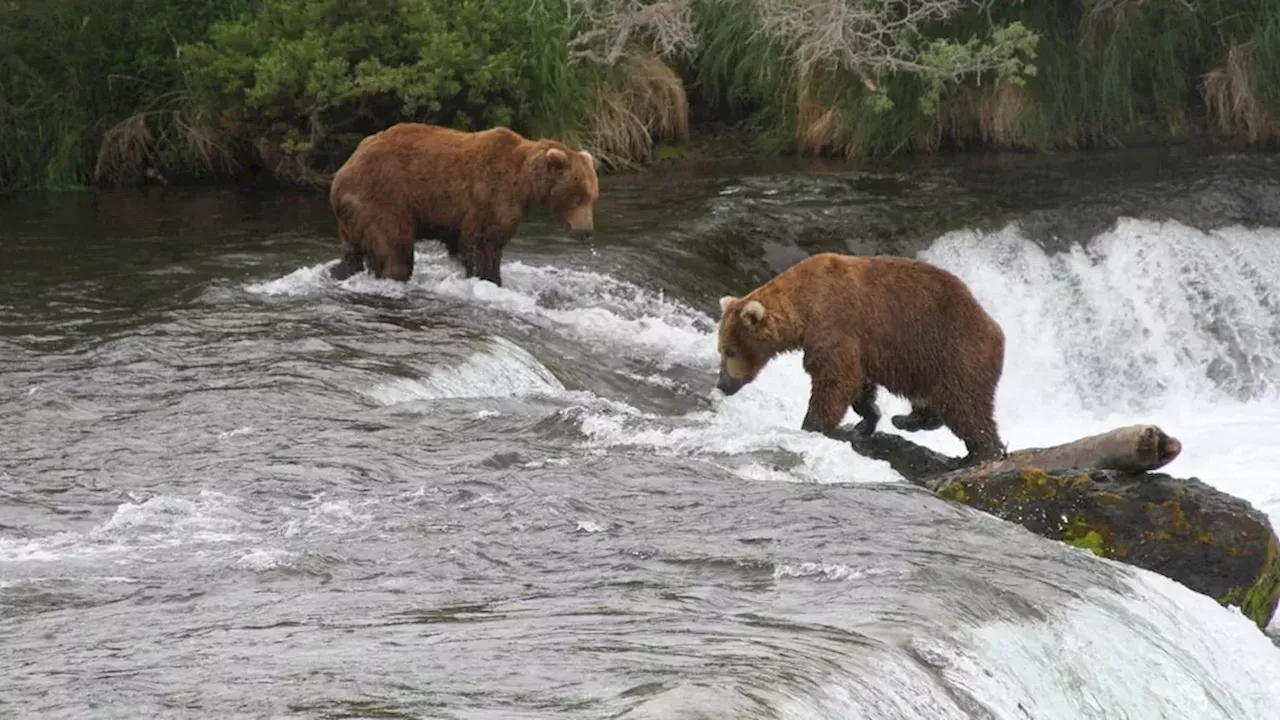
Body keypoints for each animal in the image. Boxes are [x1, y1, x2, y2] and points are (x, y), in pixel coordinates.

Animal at [327, 122, 600, 286]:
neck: (523, 184)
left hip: (353, 215)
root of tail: (341, 173)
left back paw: (338, 272)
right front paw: (489, 278)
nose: (586, 231)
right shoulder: (489, 195)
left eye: (593, 196)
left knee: (352, 252)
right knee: (395, 249)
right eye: (578, 196)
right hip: (384, 197)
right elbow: (483, 245)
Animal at [715, 251, 1007, 465]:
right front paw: (867, 419)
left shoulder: (835, 322)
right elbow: (859, 384)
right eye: (720, 350)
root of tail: (997, 330)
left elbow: (835, 379)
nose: (722, 384)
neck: (804, 306)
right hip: (927, 366)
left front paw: (812, 425)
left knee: (965, 406)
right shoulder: (858, 344)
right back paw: (906, 419)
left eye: (730, 351)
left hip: (954, 351)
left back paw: (982, 453)